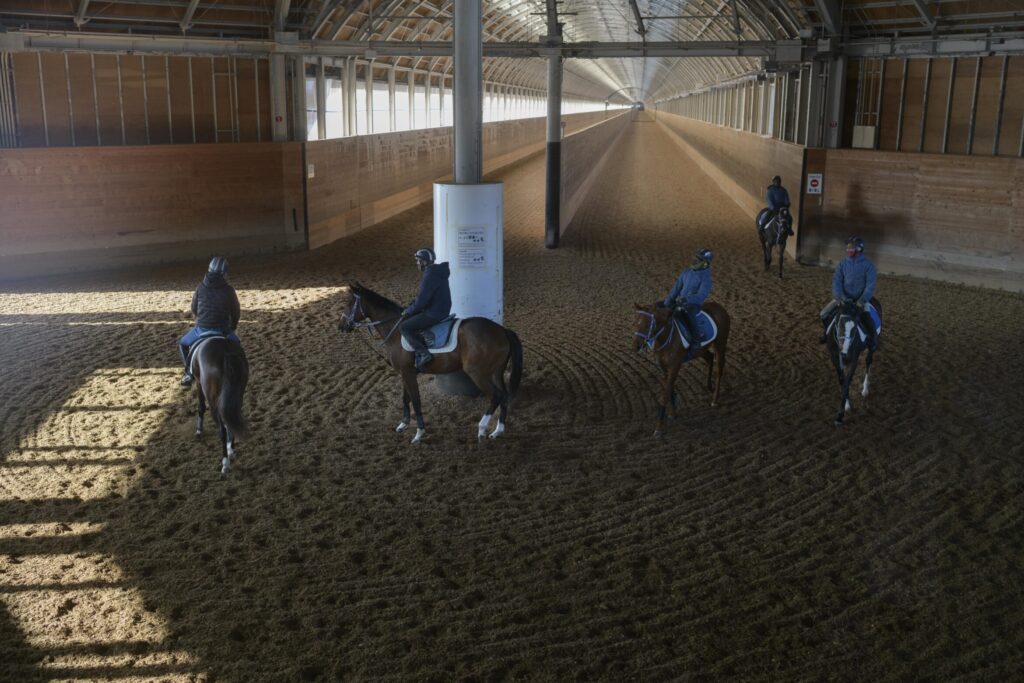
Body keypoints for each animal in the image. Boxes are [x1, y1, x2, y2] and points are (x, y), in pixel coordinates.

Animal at [191, 337, 249, 474]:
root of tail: (225, 351)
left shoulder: (198, 382)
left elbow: (201, 406)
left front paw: (199, 430)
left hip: (213, 402)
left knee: (222, 430)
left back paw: (225, 463)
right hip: (238, 396)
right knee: (231, 421)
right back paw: (230, 451)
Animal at [338, 283, 523, 445]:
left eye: (349, 303)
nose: (341, 326)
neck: (396, 332)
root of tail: (501, 330)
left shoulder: (408, 373)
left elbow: (416, 400)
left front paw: (419, 433)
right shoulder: (405, 372)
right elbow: (405, 398)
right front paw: (403, 424)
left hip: (478, 373)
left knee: (495, 396)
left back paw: (482, 429)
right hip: (496, 372)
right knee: (504, 395)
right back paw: (498, 431)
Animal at [632, 301, 731, 437]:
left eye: (647, 325)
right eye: (635, 323)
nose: (635, 346)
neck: (667, 337)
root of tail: (720, 308)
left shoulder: (675, 367)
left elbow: (665, 394)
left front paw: (659, 428)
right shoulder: (665, 367)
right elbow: (670, 390)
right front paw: (673, 414)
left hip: (720, 345)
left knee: (719, 370)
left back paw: (715, 399)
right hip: (700, 350)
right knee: (710, 359)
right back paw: (709, 387)